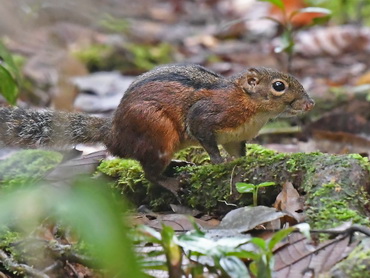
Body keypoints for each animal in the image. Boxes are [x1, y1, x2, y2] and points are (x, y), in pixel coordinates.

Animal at [0, 63, 316, 193]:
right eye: (279, 86)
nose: (310, 103)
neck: (251, 107)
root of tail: (114, 133)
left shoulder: (236, 137)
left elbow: (238, 152)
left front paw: (240, 163)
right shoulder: (207, 116)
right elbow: (207, 139)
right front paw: (218, 163)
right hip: (158, 132)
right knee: (149, 173)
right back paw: (170, 181)